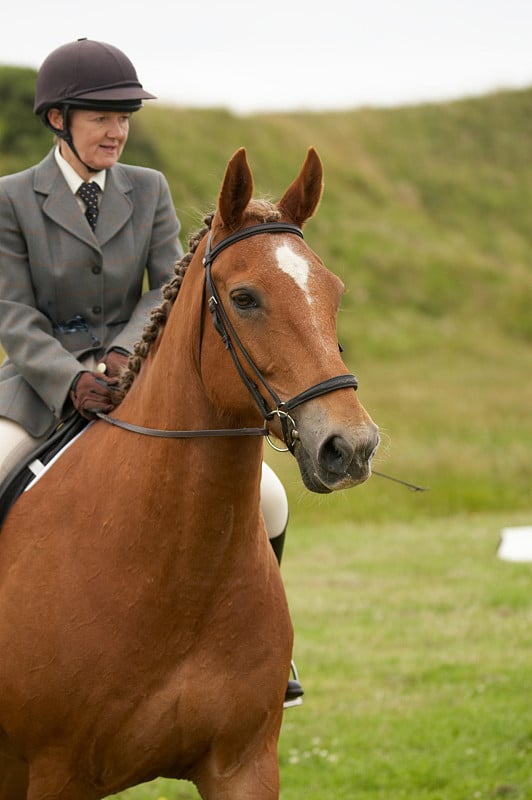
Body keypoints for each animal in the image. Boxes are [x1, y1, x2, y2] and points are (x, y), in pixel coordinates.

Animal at [0, 150, 378, 800]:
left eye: (333, 291)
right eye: (245, 298)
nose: (350, 447)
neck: (178, 574)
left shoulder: (245, 765)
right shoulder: (56, 775)